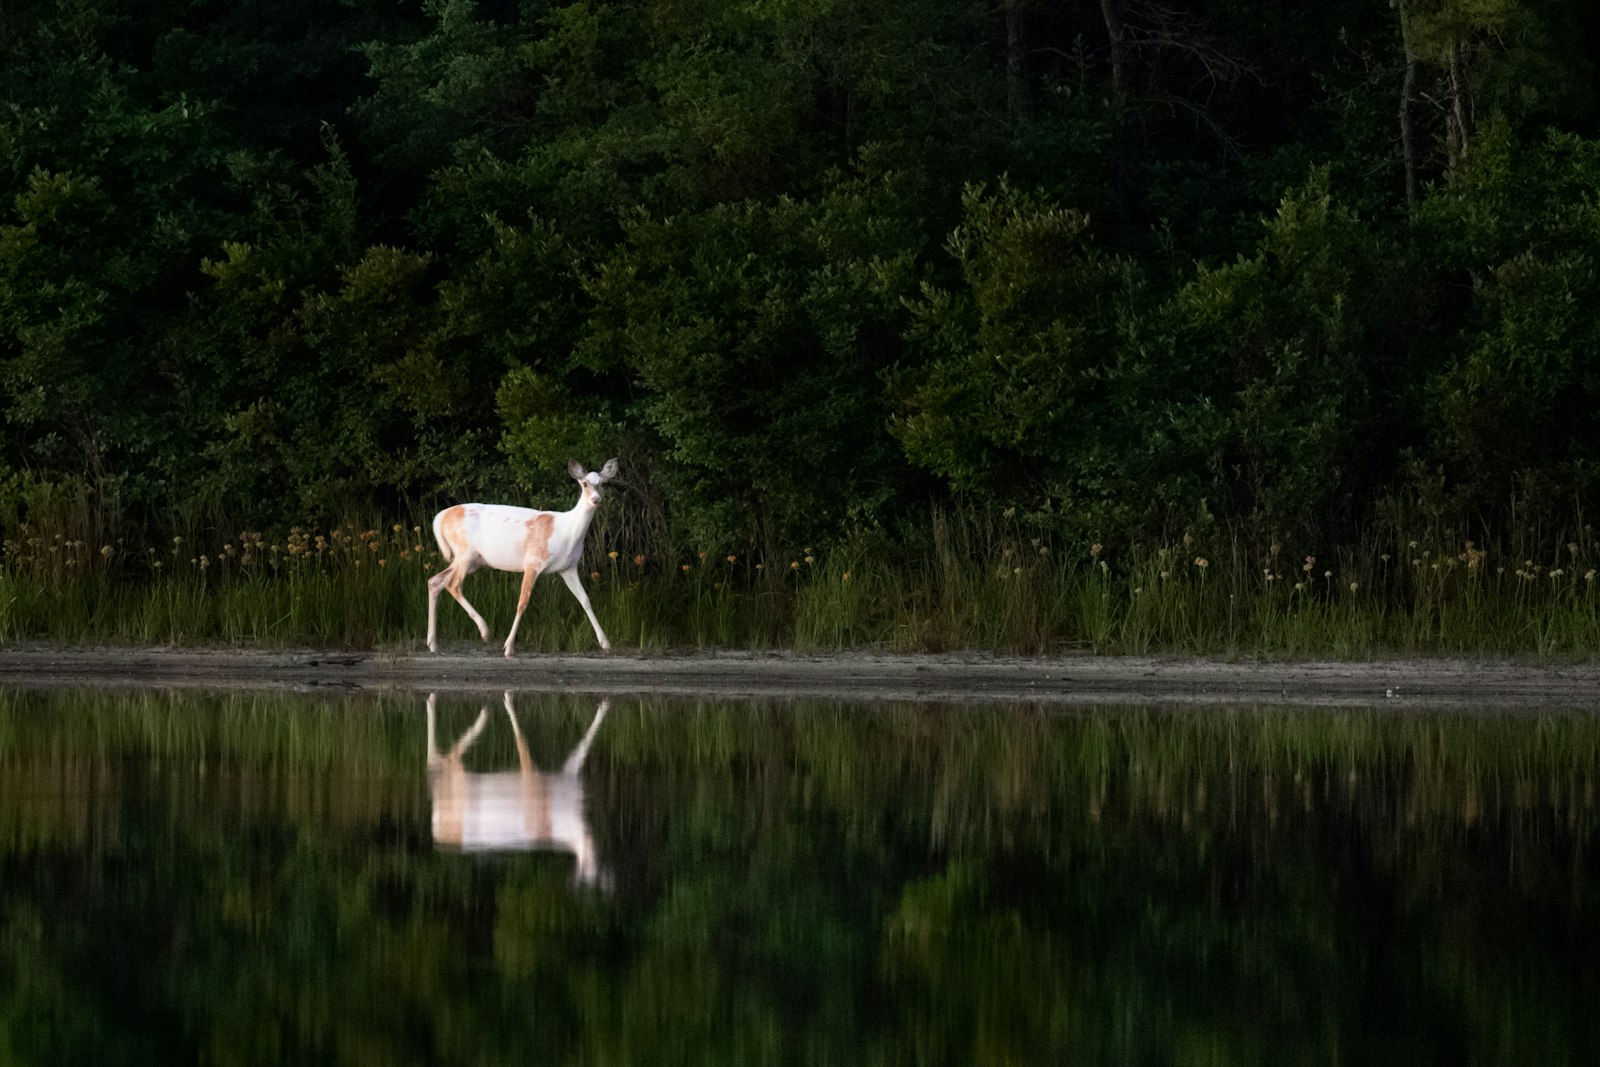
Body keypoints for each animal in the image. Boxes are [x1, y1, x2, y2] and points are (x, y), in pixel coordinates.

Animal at [425, 460, 617, 659]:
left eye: (603, 483)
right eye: (584, 483)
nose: (596, 499)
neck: (567, 532)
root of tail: (440, 518)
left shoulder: (568, 567)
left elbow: (585, 600)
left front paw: (606, 644)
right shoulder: (533, 562)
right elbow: (522, 602)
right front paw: (508, 647)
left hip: (471, 560)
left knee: (435, 581)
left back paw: (433, 643)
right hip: (465, 553)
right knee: (453, 584)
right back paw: (485, 632)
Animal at [425, 694, 611, 883]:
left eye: (596, 870)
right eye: (588, 870)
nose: (593, 850)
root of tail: (438, 828)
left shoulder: (566, 772)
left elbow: (580, 750)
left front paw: (604, 704)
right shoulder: (531, 775)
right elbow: (522, 740)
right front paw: (508, 699)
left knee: (443, 759)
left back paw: (480, 714)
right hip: (457, 782)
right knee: (441, 758)